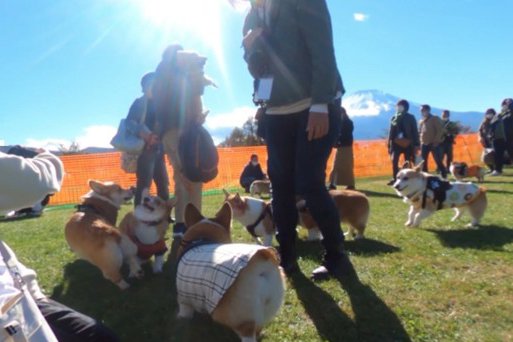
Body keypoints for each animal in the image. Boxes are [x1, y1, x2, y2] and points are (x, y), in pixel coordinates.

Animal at [177, 204, 286, 340]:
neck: (203, 239)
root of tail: (261, 264)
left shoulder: (184, 299)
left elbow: (184, 314)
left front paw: (181, 320)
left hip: (240, 320)